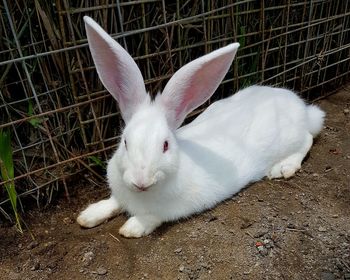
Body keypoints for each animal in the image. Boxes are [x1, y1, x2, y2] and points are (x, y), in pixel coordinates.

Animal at [77, 16, 326, 237]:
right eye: (125, 143)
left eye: (165, 145)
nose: (141, 181)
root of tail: (300, 106)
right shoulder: (119, 194)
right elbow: (112, 202)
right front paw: (88, 216)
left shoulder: (169, 210)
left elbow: (151, 218)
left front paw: (131, 228)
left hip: (290, 138)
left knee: (307, 139)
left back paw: (284, 168)